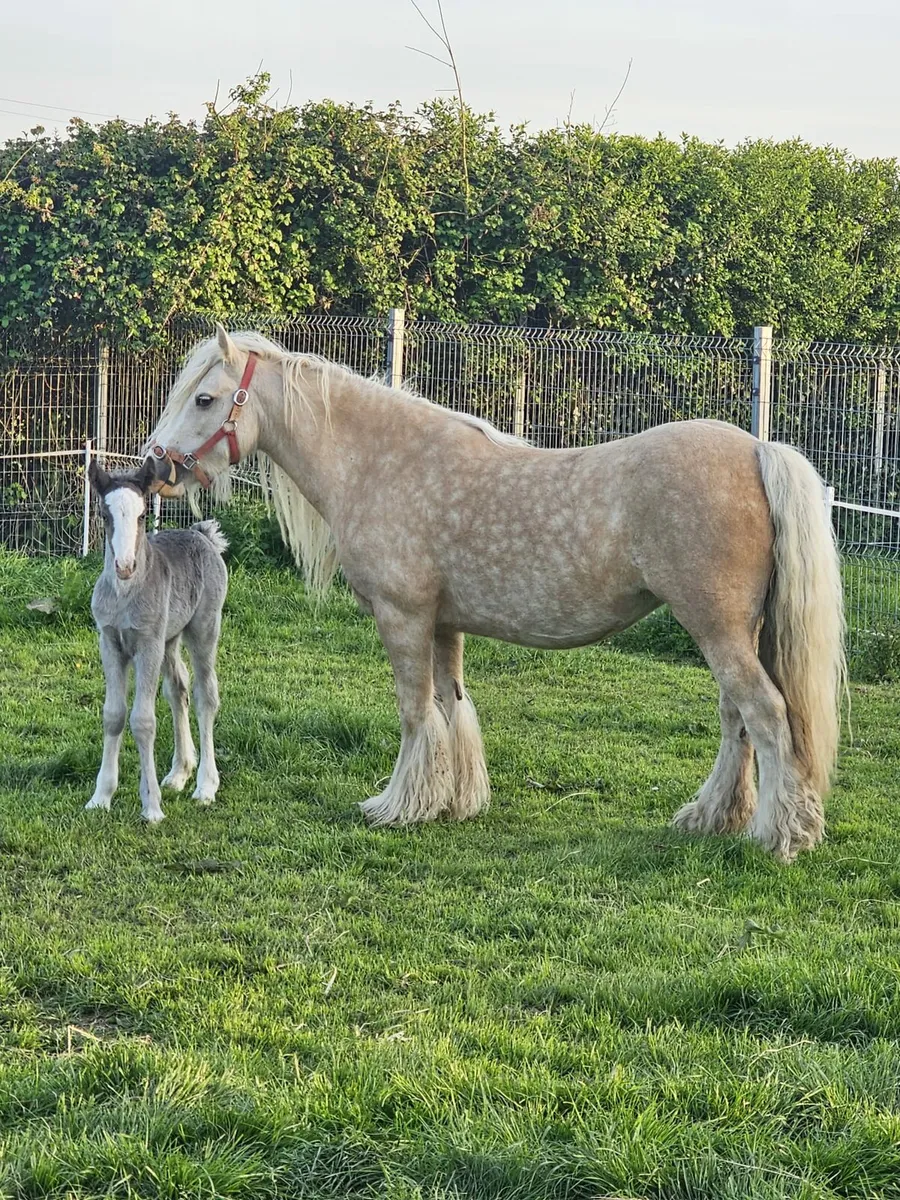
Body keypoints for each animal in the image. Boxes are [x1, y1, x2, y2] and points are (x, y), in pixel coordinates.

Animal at [86, 457, 228, 822]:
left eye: (141, 516)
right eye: (105, 516)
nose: (124, 566)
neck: (124, 595)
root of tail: (201, 535)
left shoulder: (147, 645)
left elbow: (143, 720)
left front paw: (150, 806)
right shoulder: (110, 642)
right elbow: (113, 715)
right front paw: (101, 797)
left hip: (203, 628)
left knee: (206, 694)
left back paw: (205, 786)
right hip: (169, 639)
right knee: (178, 688)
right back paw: (180, 773)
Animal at [146, 324, 846, 860]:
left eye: (204, 399)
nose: (156, 467)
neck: (383, 462)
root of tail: (758, 448)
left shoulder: (403, 618)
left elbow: (414, 713)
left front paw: (397, 806)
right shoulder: (442, 624)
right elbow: (451, 707)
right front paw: (452, 803)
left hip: (717, 627)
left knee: (766, 714)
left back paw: (779, 837)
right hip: (733, 631)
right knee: (737, 719)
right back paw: (711, 819)